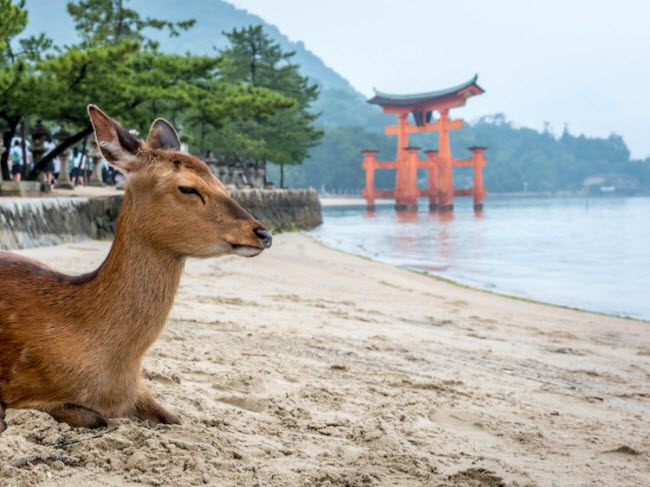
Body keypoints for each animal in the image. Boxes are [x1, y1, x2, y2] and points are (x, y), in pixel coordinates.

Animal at [0, 107, 270, 434]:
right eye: (188, 188)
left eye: (220, 181)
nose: (264, 233)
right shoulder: (25, 389)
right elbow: (97, 418)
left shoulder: (138, 389)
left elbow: (174, 418)